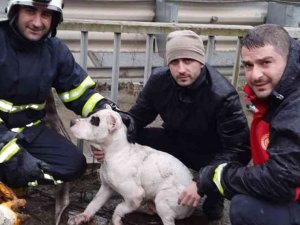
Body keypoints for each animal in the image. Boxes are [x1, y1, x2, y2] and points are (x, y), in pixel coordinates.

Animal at [67, 107, 195, 225]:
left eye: (94, 121)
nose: (72, 122)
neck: (116, 152)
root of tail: (191, 210)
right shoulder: (106, 188)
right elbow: (94, 203)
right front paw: (83, 216)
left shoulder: (135, 195)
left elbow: (120, 207)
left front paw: (116, 220)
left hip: (163, 198)